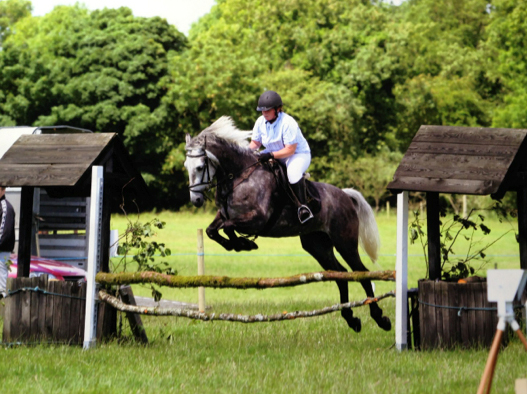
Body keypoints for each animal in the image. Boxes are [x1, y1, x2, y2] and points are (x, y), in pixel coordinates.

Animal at [186, 117, 392, 332]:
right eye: (186, 166)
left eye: (200, 167)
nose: (196, 200)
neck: (239, 177)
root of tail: (345, 195)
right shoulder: (225, 215)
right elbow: (212, 230)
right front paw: (238, 244)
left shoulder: (257, 219)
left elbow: (227, 227)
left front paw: (244, 243)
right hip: (317, 246)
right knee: (340, 275)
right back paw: (351, 318)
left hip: (345, 243)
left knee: (362, 273)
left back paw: (380, 318)